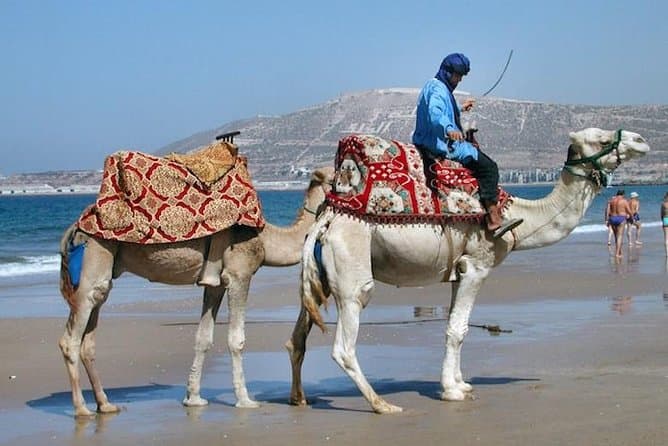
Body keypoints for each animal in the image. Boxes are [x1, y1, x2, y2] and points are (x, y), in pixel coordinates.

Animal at [58, 166, 333, 417]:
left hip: (104, 273)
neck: (265, 239)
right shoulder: (239, 275)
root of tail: (75, 227)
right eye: (337, 174)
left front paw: (193, 398)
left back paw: (105, 405)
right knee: (70, 340)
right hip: (94, 259)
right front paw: (245, 400)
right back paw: (81, 409)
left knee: (89, 337)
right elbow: (236, 339)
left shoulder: (215, 284)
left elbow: (203, 338)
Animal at [286, 128, 649, 414]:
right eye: (601, 139)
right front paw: (452, 391)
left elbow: (453, 325)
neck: (519, 216)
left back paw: (299, 399)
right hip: (352, 269)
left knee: (297, 337)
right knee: (345, 342)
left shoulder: (458, 270)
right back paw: (382, 405)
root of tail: (326, 220)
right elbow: (458, 330)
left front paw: (461, 383)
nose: (642, 140)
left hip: (319, 274)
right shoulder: (477, 265)